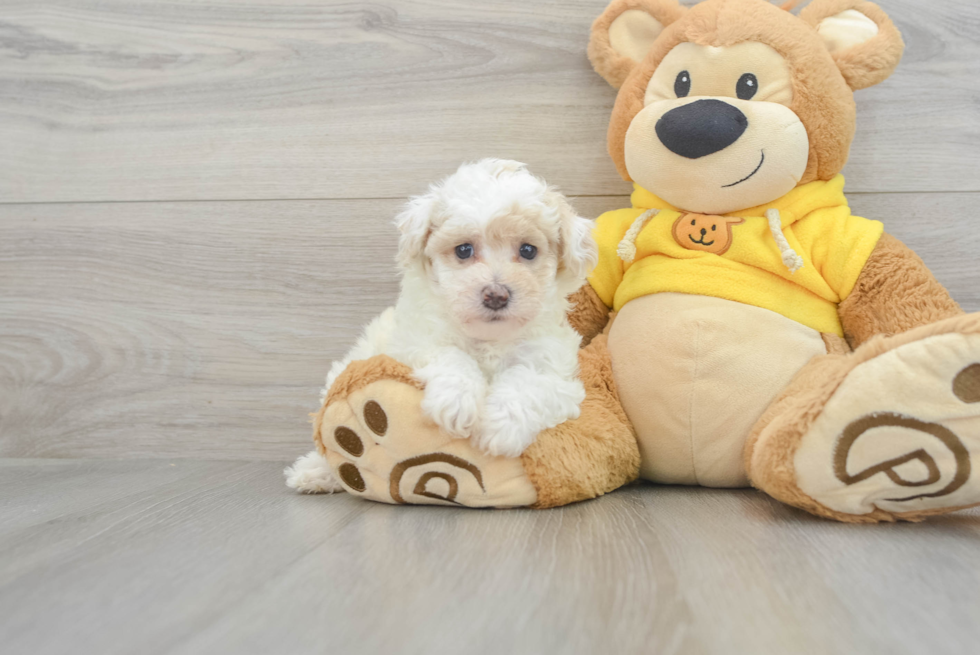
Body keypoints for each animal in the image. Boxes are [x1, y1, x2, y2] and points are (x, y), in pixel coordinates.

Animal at [288, 160, 596, 492]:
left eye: (528, 250)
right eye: (463, 250)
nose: (496, 295)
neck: (488, 338)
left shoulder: (555, 370)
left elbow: (528, 381)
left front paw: (500, 428)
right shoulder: (413, 342)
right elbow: (449, 355)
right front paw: (456, 402)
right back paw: (315, 471)